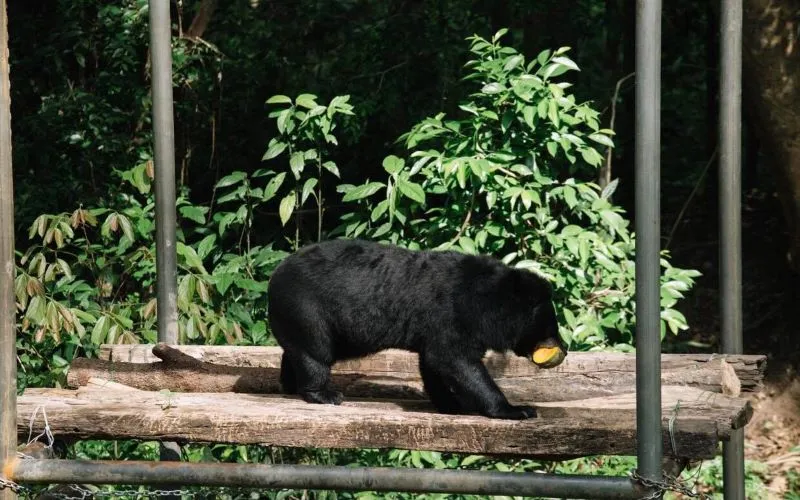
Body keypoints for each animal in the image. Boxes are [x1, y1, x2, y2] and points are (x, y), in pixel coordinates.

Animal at [270, 238, 568, 418]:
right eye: (551, 326)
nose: (564, 348)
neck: (486, 302)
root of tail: (275, 274)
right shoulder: (452, 315)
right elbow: (456, 360)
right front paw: (517, 409)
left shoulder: (435, 327)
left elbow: (433, 364)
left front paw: (450, 404)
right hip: (308, 310)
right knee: (316, 351)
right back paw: (325, 394)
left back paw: (289, 383)